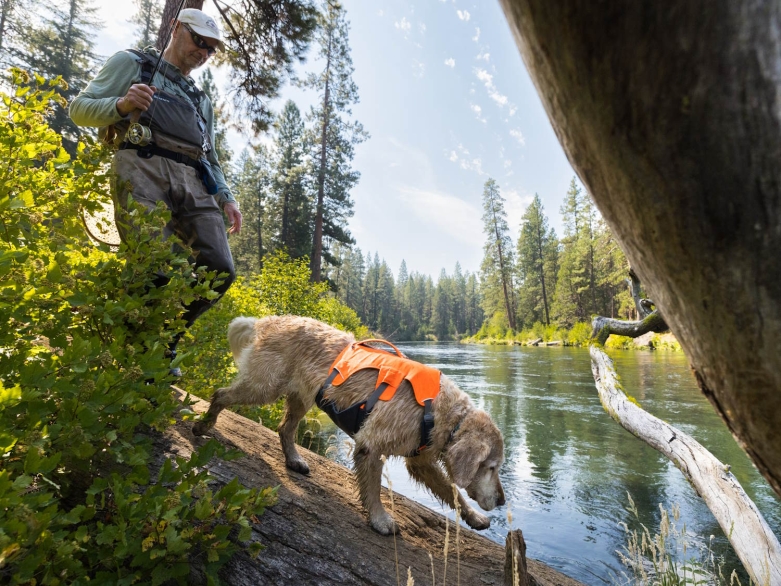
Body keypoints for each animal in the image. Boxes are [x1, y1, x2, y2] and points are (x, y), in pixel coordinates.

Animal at [190, 314, 506, 532]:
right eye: (490, 467)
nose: (502, 501)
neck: (440, 411)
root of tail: (266, 320)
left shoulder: (421, 462)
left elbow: (453, 493)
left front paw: (474, 517)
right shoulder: (371, 446)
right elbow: (374, 490)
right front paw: (380, 519)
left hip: (301, 397)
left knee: (284, 428)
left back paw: (294, 460)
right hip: (263, 386)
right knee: (220, 394)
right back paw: (203, 426)